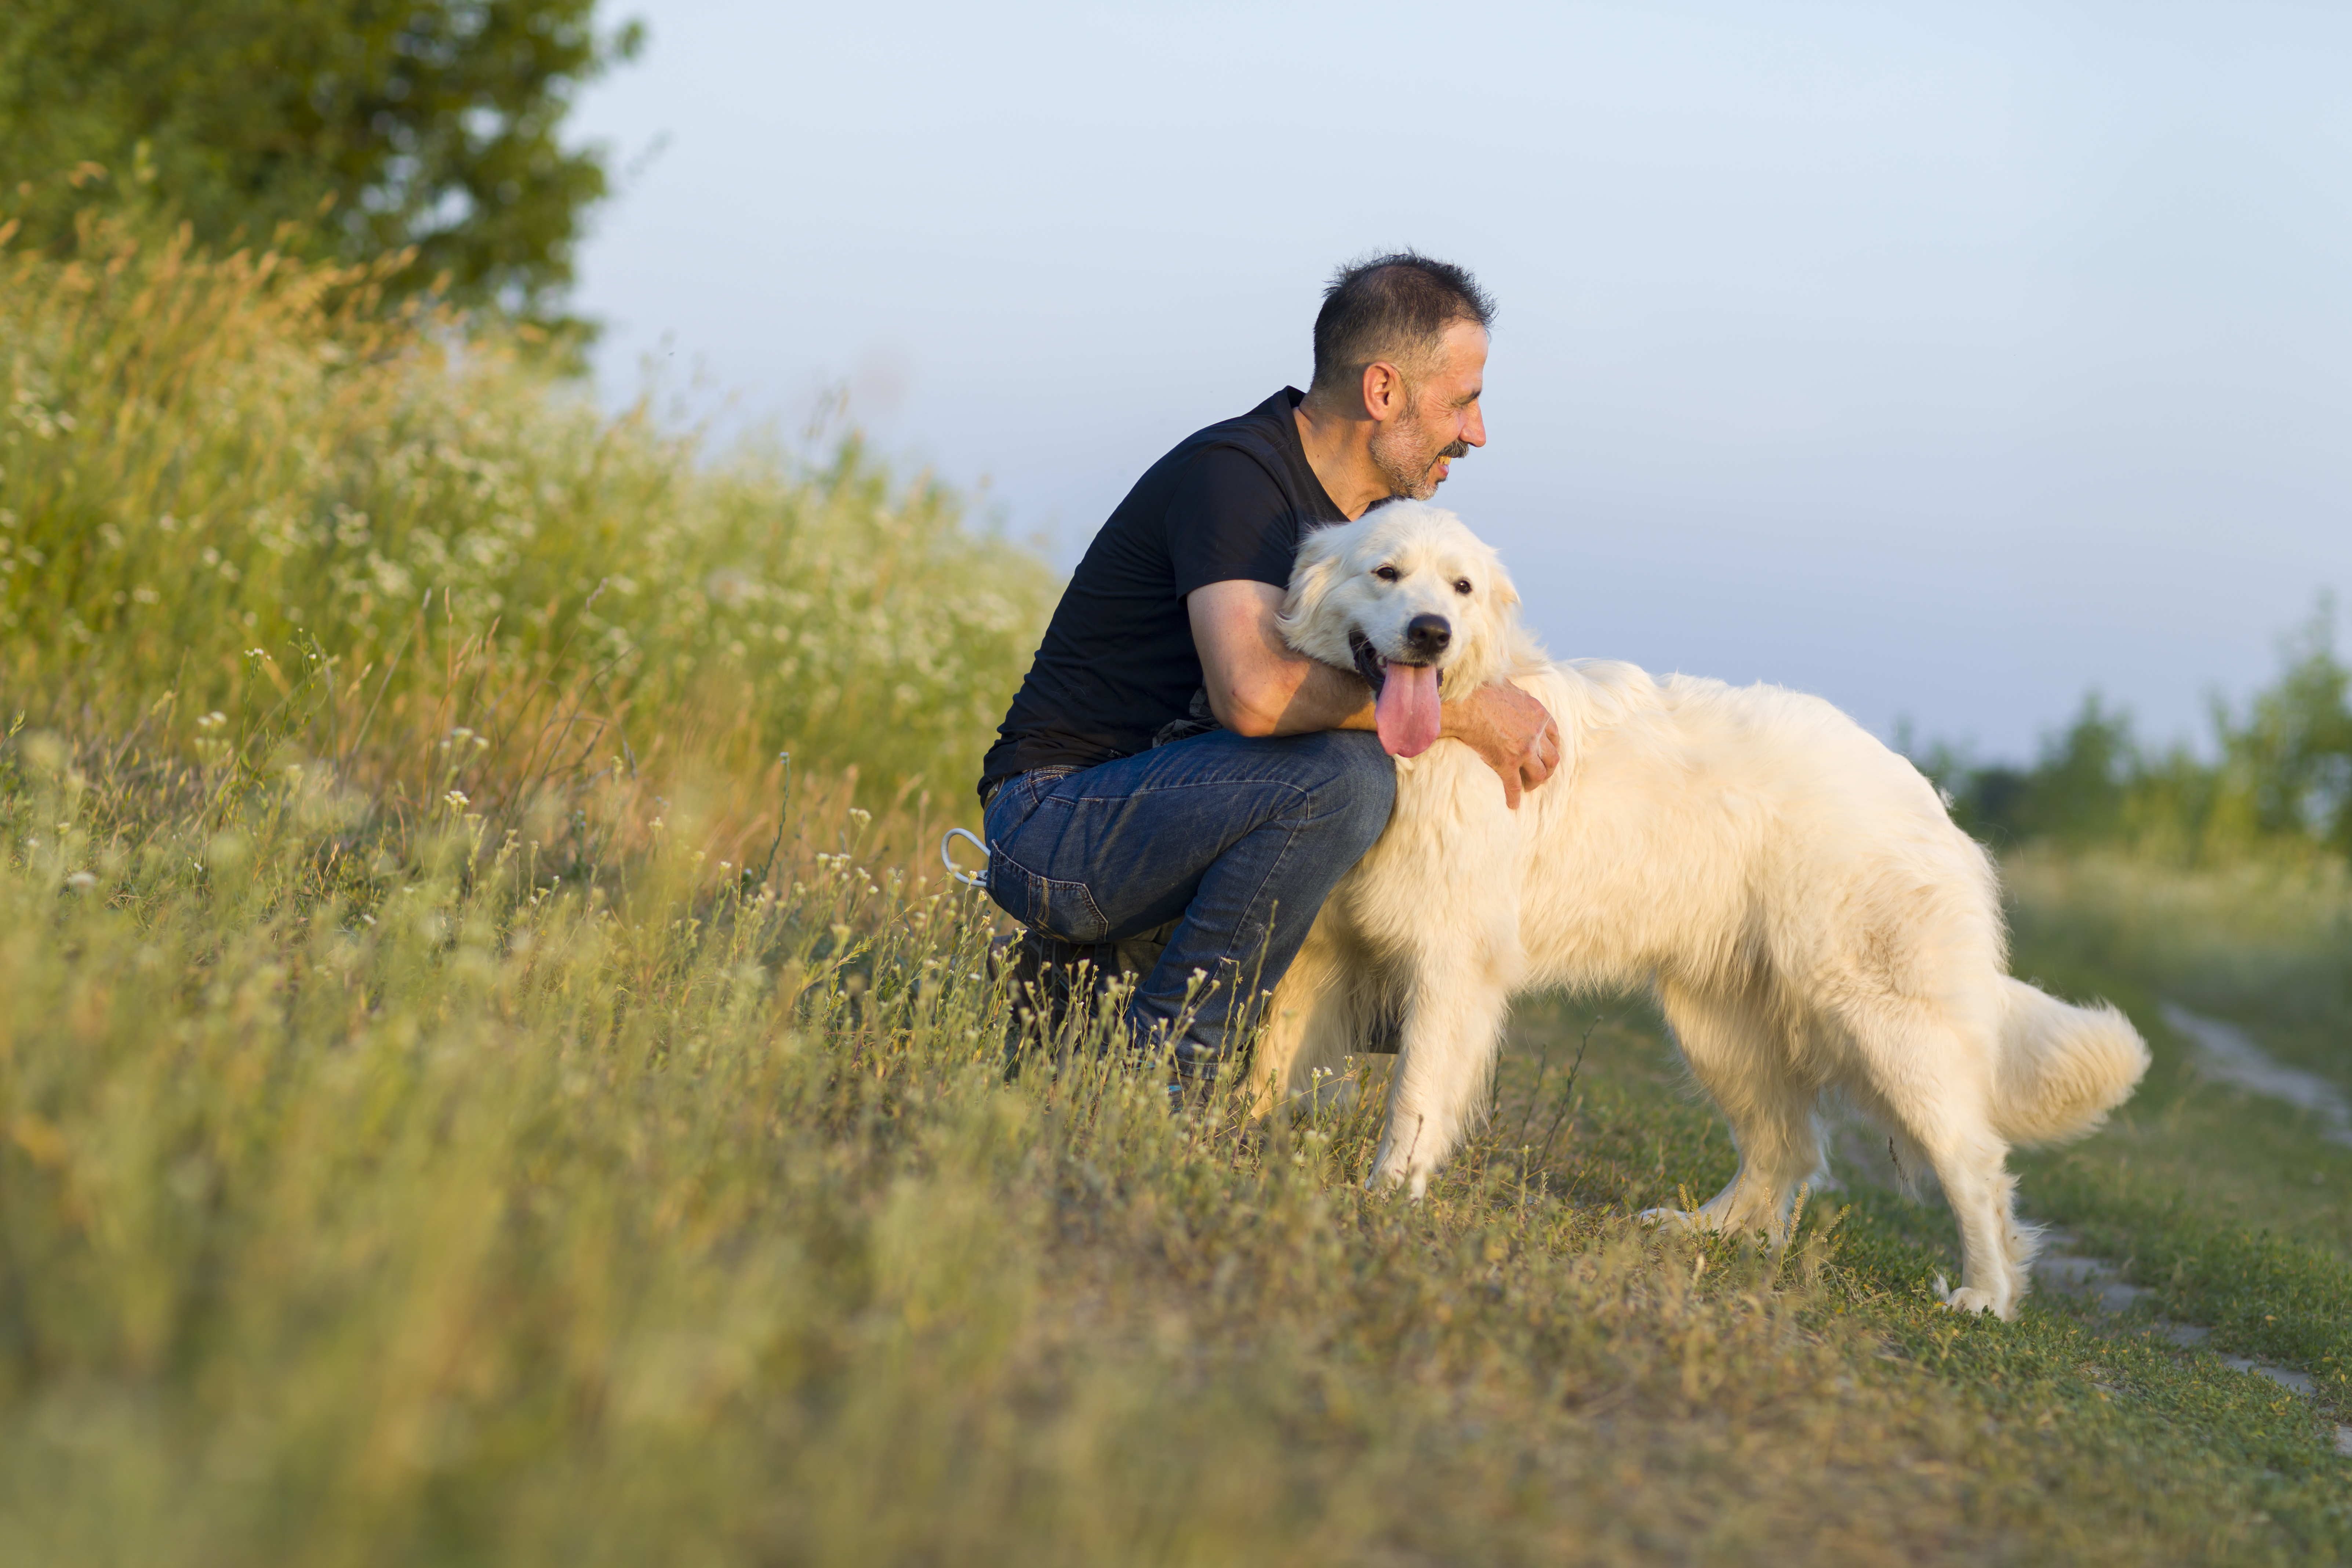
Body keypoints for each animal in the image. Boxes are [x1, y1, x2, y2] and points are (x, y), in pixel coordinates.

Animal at [1270, 501, 2154, 1316]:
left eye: (1461, 588)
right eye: (1386, 572)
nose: (1433, 633)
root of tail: (1925, 796)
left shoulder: (1453, 966)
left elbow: (1416, 1096)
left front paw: (1388, 1195)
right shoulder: (1317, 951)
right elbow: (1269, 1052)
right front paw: (1240, 1139)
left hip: (1888, 1028)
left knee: (1974, 1166)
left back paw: (1984, 1296)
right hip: (1720, 1026)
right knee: (1786, 1150)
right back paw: (1709, 1232)